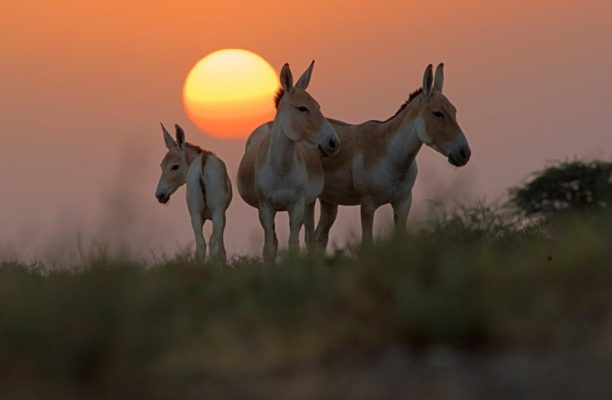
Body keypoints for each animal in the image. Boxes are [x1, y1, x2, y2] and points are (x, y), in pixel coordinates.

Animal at [155, 124, 232, 262]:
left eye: (175, 166)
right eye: (162, 165)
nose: (160, 195)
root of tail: (203, 163)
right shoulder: (221, 214)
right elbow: (220, 245)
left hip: (196, 214)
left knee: (201, 245)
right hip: (215, 213)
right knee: (212, 243)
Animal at [238, 61, 340, 264]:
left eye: (318, 106)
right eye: (302, 108)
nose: (334, 142)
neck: (281, 169)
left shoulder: (297, 204)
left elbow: (294, 245)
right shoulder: (265, 206)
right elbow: (269, 248)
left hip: (309, 203)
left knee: (309, 237)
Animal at [316, 63, 474, 247]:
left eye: (454, 111)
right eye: (437, 113)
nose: (464, 153)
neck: (392, 156)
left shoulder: (403, 202)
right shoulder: (368, 204)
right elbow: (367, 244)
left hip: (329, 200)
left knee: (318, 238)